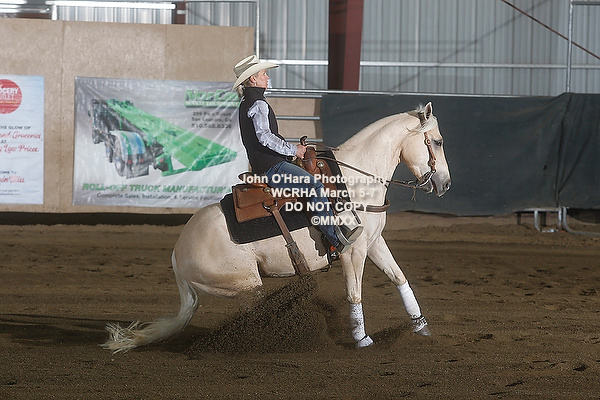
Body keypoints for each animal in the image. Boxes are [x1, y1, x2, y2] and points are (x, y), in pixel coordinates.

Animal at [102, 102, 451, 352]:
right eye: (437, 141)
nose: (445, 184)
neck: (355, 181)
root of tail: (177, 255)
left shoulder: (374, 243)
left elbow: (399, 278)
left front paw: (421, 326)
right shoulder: (353, 251)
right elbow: (354, 294)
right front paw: (362, 340)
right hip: (247, 285)